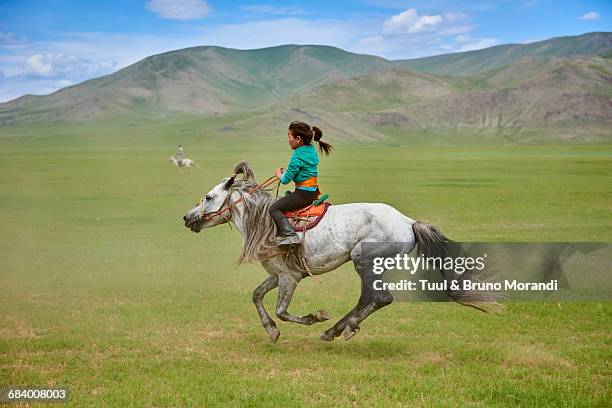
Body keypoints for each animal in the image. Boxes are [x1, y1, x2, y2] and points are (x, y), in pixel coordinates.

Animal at [182, 161, 498, 342]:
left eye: (208, 197)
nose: (186, 217)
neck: (264, 222)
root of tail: (408, 222)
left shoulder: (290, 278)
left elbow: (282, 311)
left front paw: (315, 317)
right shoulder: (280, 274)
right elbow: (257, 295)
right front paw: (271, 331)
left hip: (364, 260)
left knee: (379, 298)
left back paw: (336, 328)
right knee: (369, 299)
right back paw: (337, 330)